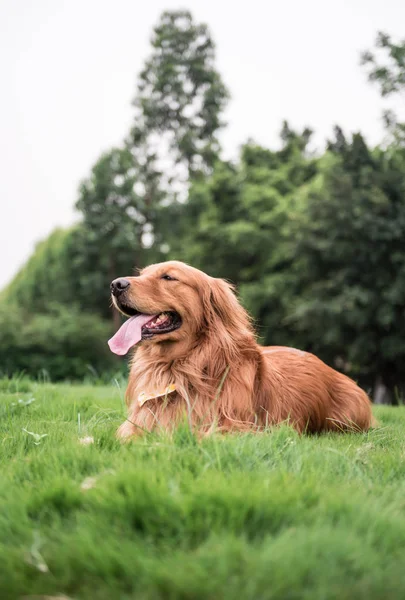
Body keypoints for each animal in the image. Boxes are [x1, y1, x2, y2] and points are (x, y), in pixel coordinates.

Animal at [108, 260, 372, 438]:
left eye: (169, 277)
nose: (115, 284)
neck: (179, 366)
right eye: (143, 274)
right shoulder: (135, 423)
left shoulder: (238, 428)